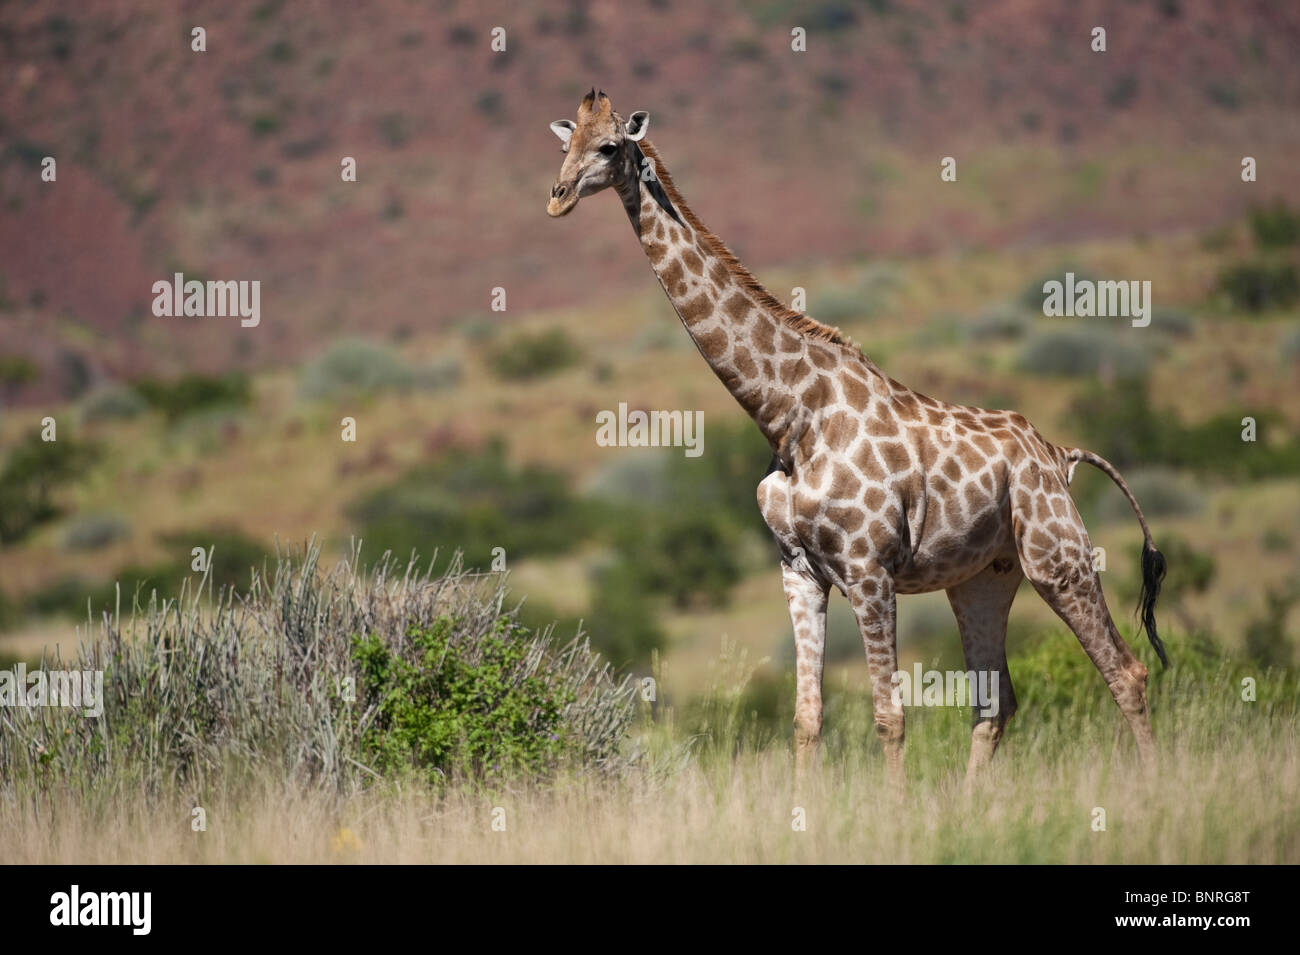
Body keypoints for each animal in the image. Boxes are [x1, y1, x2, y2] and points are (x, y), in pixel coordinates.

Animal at [547, 90, 1167, 787]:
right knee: (995, 701)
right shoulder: (798, 569)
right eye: (564, 144)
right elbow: (806, 718)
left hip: (1057, 555)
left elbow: (889, 717)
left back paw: (1153, 789)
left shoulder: (869, 568)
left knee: (1126, 671)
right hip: (985, 575)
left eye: (608, 146)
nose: (558, 197)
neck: (787, 412)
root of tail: (1059, 456)